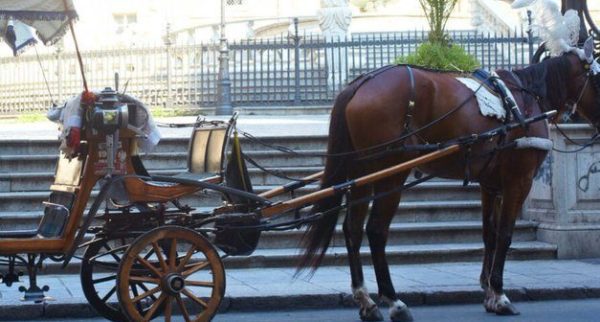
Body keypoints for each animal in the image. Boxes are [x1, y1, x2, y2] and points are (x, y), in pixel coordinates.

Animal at [298, 39, 600, 322]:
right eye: (597, 76)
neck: (525, 99)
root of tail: (360, 84)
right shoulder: (519, 181)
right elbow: (504, 234)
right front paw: (500, 294)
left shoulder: (491, 184)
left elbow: (490, 233)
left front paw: (489, 293)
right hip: (391, 173)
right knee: (376, 230)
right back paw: (394, 301)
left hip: (361, 174)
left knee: (353, 229)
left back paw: (366, 301)